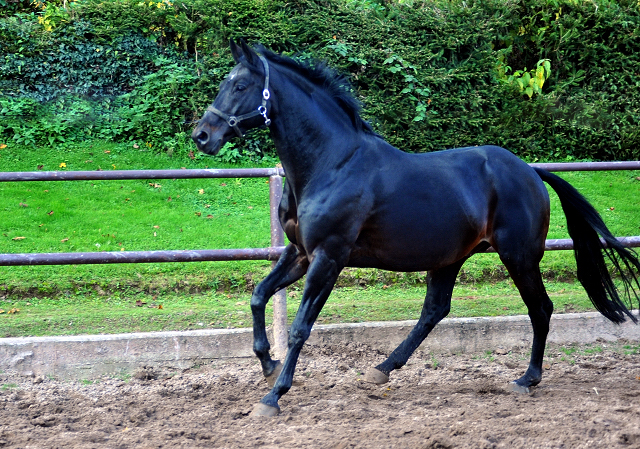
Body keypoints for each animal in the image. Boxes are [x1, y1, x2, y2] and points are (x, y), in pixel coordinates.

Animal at [194, 41, 640, 416]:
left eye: (240, 85)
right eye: (226, 83)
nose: (202, 135)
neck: (331, 164)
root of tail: (530, 172)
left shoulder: (329, 257)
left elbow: (302, 326)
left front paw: (273, 396)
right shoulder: (300, 252)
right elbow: (258, 295)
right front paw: (267, 363)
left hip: (520, 256)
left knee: (540, 309)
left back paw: (526, 379)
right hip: (450, 257)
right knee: (435, 310)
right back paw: (382, 369)